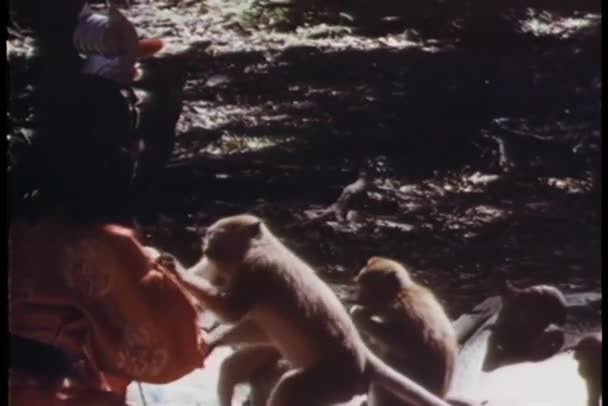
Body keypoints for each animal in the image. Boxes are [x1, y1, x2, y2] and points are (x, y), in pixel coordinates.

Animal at [350, 258, 458, 404]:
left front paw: (358, 315)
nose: (358, 298)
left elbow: (404, 346)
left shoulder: (404, 310)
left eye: (364, 287)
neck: (399, 294)